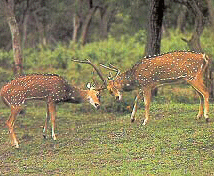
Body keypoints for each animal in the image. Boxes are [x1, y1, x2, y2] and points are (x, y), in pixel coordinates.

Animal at [74, 51, 211, 125]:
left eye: (112, 89)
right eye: (109, 91)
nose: (117, 97)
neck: (135, 77)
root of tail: (204, 57)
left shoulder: (147, 84)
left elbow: (146, 103)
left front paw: (144, 121)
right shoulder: (143, 86)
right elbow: (136, 99)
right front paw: (132, 118)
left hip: (194, 77)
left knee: (206, 92)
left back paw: (206, 117)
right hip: (191, 79)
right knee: (200, 95)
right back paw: (198, 116)